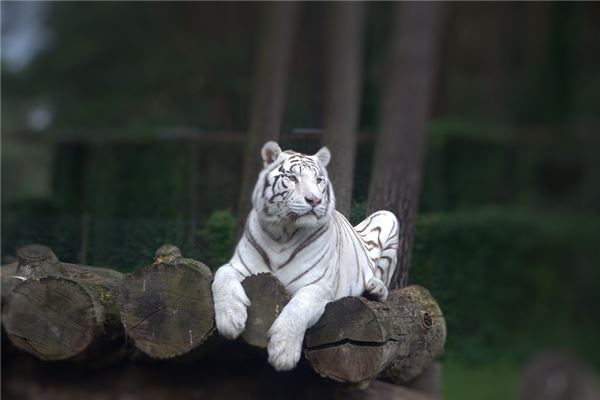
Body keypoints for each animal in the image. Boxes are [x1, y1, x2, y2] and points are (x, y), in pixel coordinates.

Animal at [211, 141, 398, 372]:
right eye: (292, 178)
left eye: (318, 180)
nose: (314, 199)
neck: (281, 234)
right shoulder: (237, 266)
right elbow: (222, 277)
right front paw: (230, 319)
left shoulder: (318, 285)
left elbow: (297, 309)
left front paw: (283, 353)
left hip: (388, 217)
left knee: (383, 279)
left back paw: (374, 288)